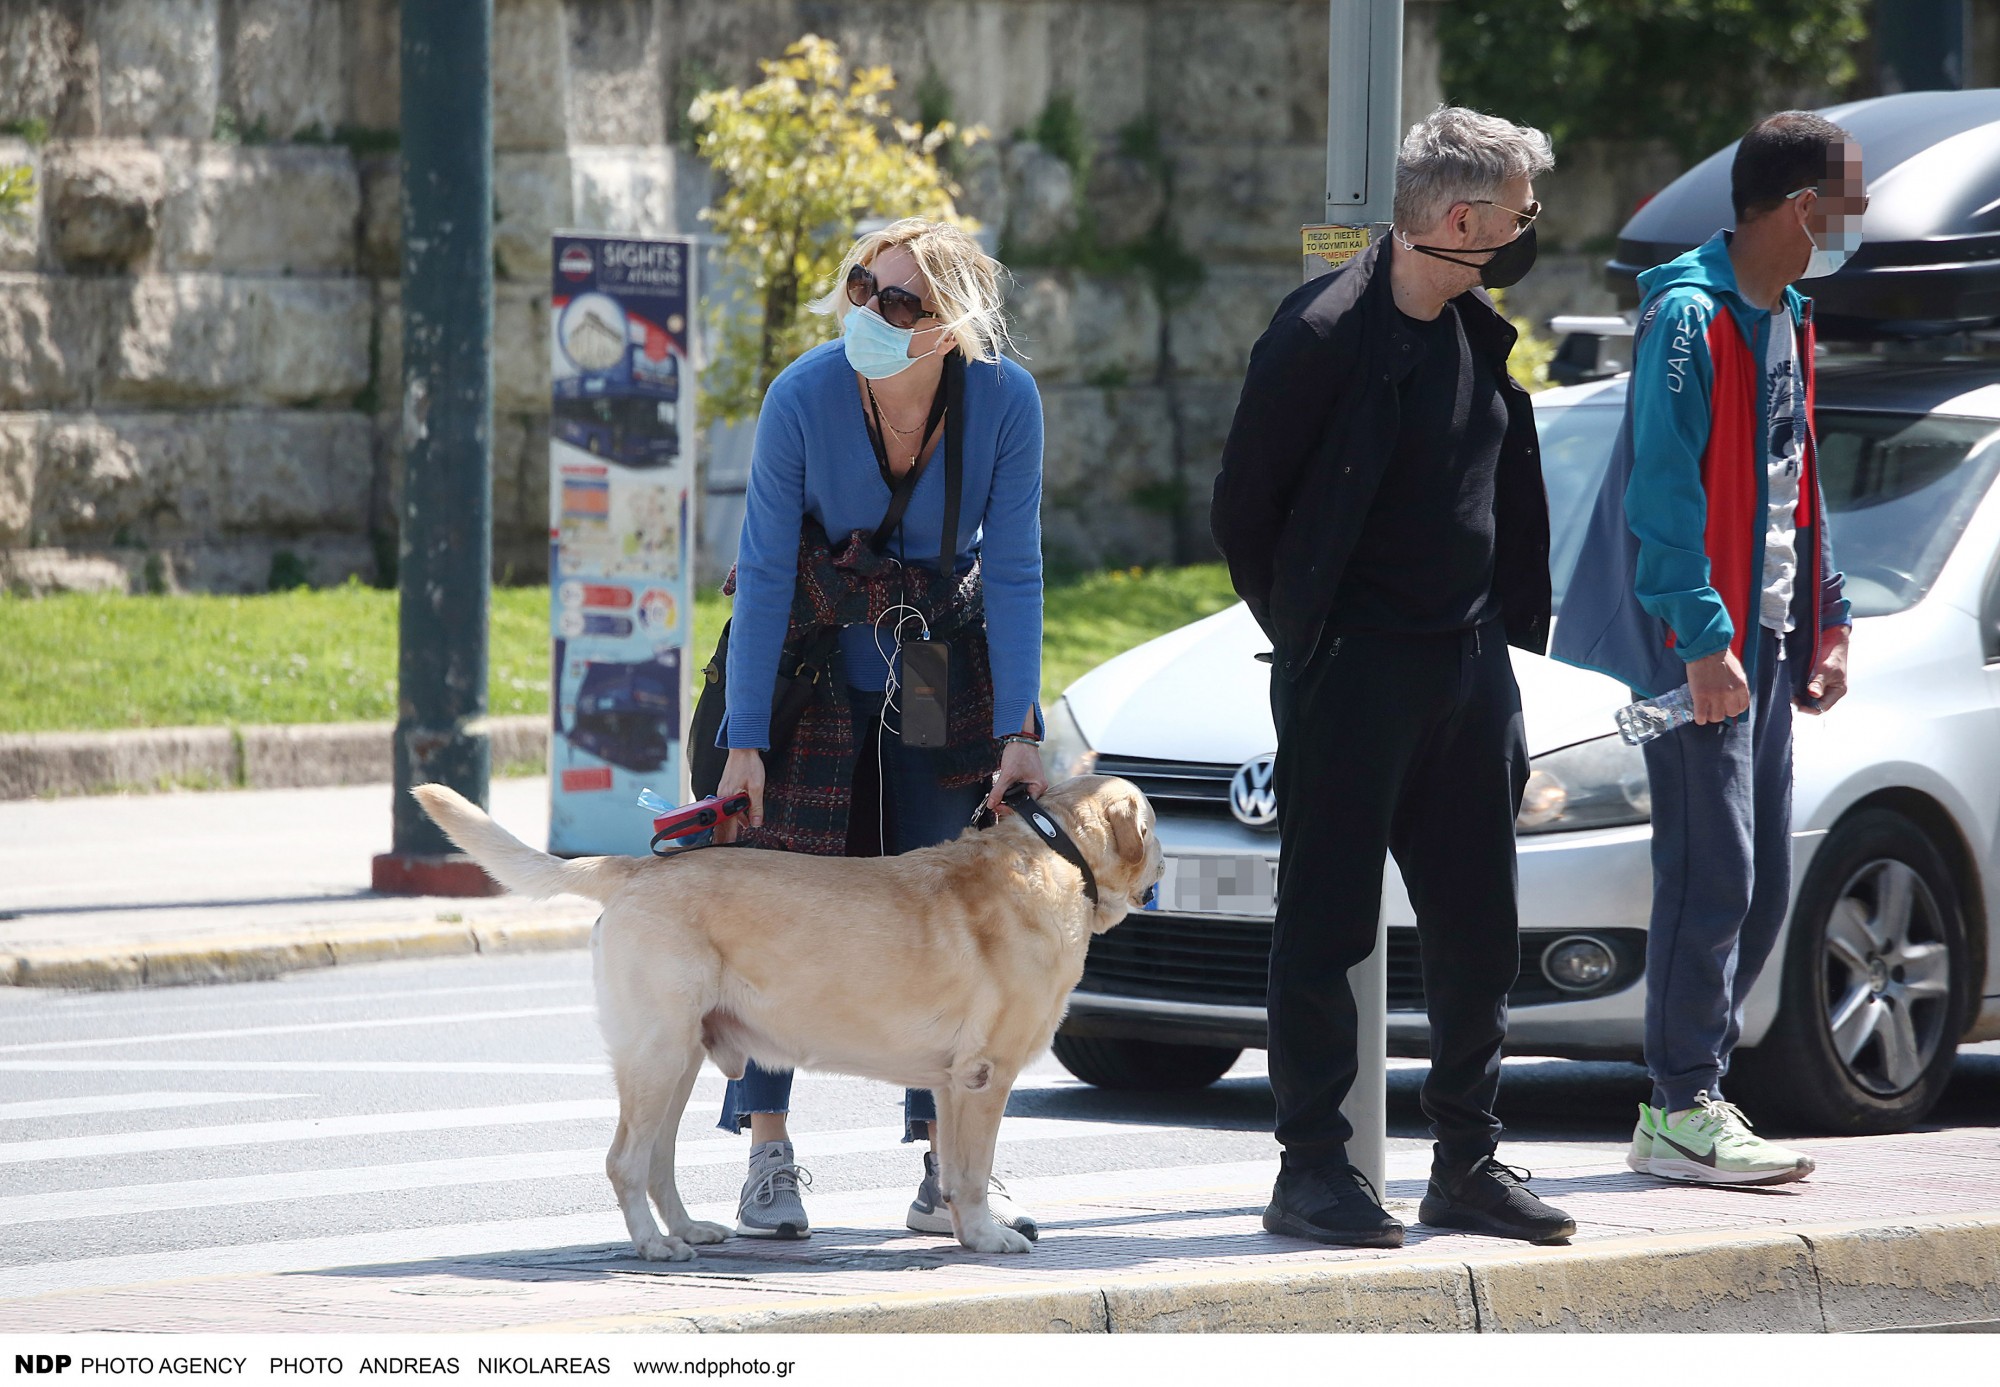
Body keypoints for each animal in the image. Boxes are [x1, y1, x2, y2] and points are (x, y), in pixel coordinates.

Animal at [410, 775, 1160, 1263]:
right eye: (1152, 828)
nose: (1165, 861)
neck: (1057, 853)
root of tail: (635, 868)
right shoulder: (984, 1076)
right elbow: (972, 1171)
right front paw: (987, 1238)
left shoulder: (950, 1084)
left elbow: (950, 1168)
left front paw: (961, 1228)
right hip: (658, 1052)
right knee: (625, 1159)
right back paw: (654, 1245)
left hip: (680, 1059)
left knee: (657, 1160)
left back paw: (689, 1230)